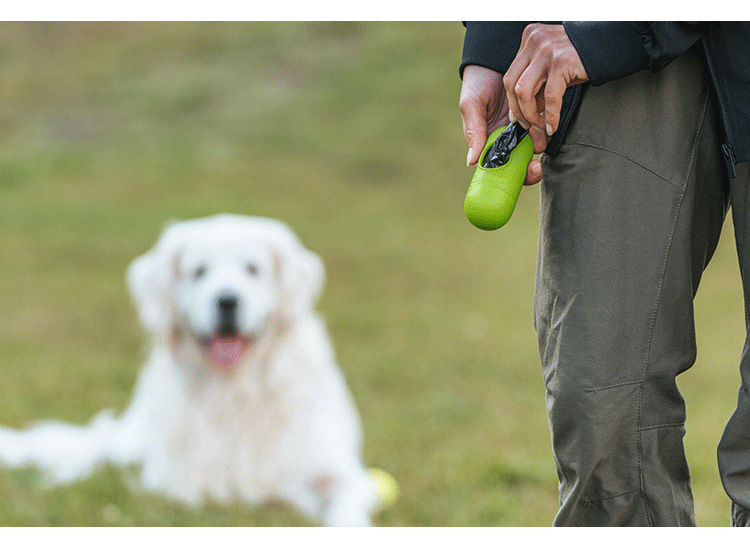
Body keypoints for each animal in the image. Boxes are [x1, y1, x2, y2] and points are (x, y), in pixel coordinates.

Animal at [0, 214, 378, 528]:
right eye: (199, 272)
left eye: (253, 269)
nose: (227, 300)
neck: (234, 390)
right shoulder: (175, 480)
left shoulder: (341, 473)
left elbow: (345, 504)